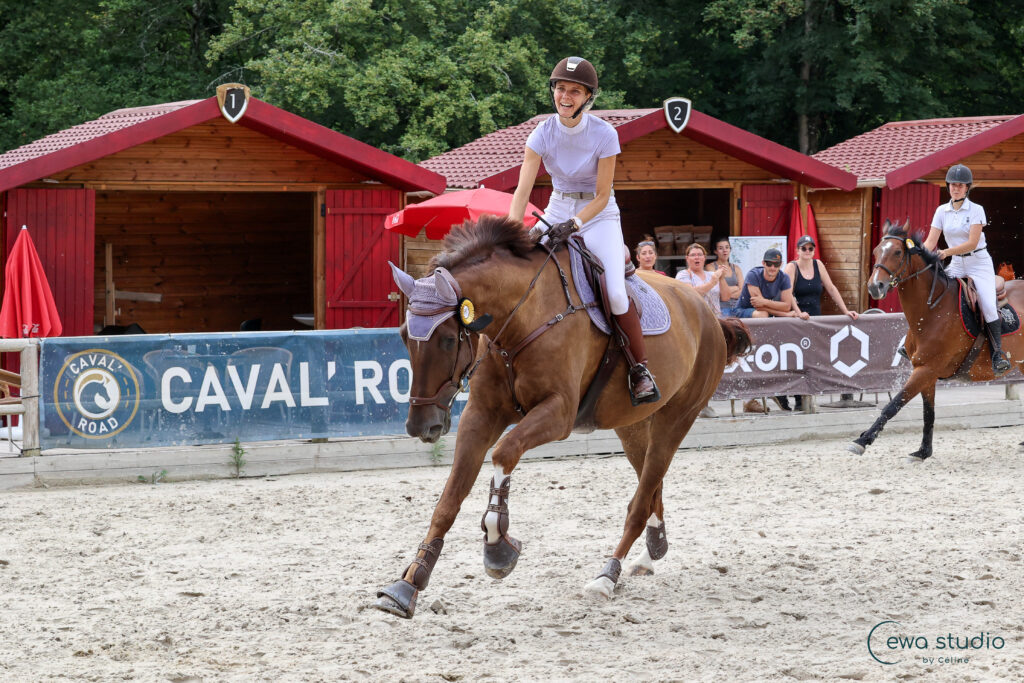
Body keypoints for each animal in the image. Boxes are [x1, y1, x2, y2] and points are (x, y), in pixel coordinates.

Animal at [372, 216, 749, 618]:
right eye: (402, 335)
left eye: (446, 338)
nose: (420, 426)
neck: (521, 315)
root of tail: (709, 313)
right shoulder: (481, 415)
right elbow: (448, 500)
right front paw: (409, 583)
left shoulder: (559, 412)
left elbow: (504, 453)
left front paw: (497, 545)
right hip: (633, 426)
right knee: (651, 487)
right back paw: (652, 551)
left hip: (675, 419)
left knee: (641, 499)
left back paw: (607, 576)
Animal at [847, 222, 1024, 462]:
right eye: (876, 251)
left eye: (897, 252)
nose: (876, 286)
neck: (932, 310)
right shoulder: (925, 371)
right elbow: (928, 413)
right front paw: (923, 452)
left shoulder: (926, 370)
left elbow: (893, 405)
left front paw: (862, 441)